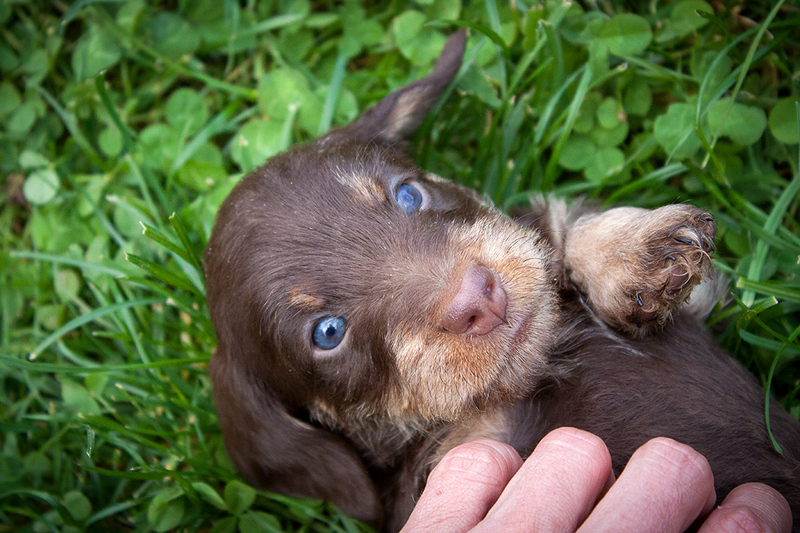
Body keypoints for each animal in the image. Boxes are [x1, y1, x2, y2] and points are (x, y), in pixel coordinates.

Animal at [204, 32, 800, 531]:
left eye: (408, 194)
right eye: (328, 333)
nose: (480, 300)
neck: (542, 366)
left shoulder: (706, 306)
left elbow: (563, 231)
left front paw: (635, 250)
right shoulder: (465, 452)